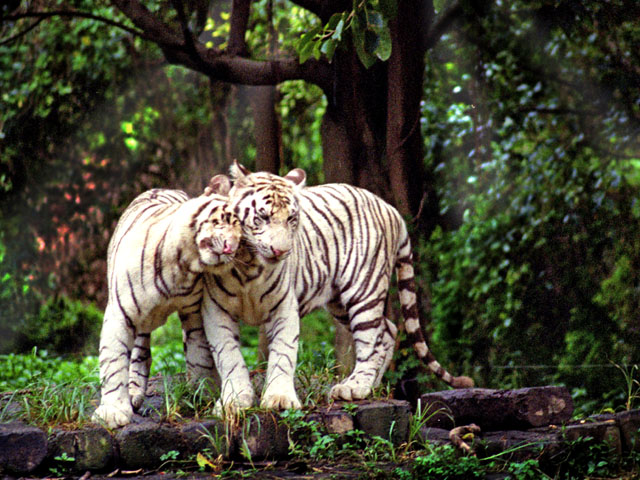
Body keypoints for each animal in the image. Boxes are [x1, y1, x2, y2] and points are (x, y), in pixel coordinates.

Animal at [92, 175, 241, 428]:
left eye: (242, 234)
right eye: (222, 221)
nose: (231, 247)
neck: (182, 266)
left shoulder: (194, 312)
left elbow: (199, 354)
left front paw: (201, 395)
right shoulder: (120, 314)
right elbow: (114, 363)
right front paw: (113, 412)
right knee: (140, 352)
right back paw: (134, 393)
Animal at [200, 162, 473, 412]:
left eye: (291, 219)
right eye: (262, 217)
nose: (281, 251)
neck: (248, 266)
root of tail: (391, 209)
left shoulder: (283, 307)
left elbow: (283, 354)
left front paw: (279, 399)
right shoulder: (215, 310)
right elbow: (229, 357)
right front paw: (234, 401)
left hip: (363, 289)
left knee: (372, 340)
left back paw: (355, 387)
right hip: (339, 302)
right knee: (389, 330)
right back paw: (370, 385)